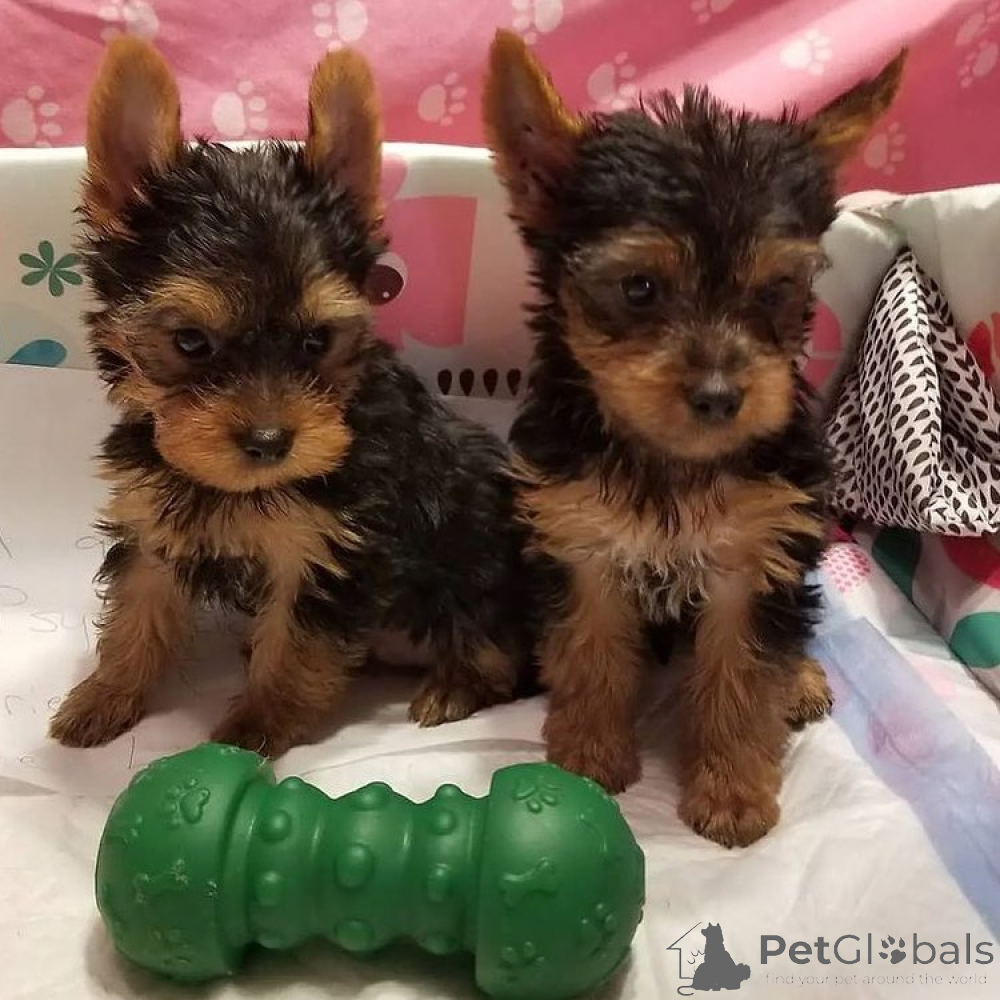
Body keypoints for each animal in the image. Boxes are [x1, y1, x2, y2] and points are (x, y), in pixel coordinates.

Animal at [49, 39, 536, 757]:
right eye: (190, 342)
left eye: (316, 341)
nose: (270, 442)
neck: (232, 489)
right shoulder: (150, 519)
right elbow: (139, 606)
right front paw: (106, 695)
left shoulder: (329, 551)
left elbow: (298, 642)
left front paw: (258, 724)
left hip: (478, 584)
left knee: (497, 656)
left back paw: (454, 687)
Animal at [482, 30, 904, 845]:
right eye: (639, 289)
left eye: (775, 291)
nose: (719, 395)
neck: (671, 461)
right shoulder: (582, 539)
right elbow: (589, 647)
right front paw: (589, 754)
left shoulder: (756, 556)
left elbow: (742, 671)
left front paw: (732, 792)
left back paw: (801, 680)